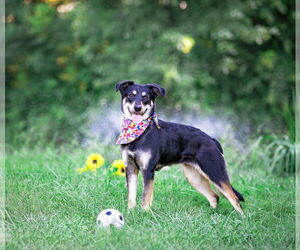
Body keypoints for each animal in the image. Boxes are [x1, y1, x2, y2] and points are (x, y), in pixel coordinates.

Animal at [115, 80, 244, 215]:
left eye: (146, 97)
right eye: (131, 95)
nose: (137, 107)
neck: (140, 133)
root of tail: (212, 140)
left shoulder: (148, 170)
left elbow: (146, 197)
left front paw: (145, 213)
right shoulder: (131, 168)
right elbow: (131, 196)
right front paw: (130, 212)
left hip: (215, 173)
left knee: (234, 198)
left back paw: (242, 218)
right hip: (194, 177)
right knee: (214, 196)